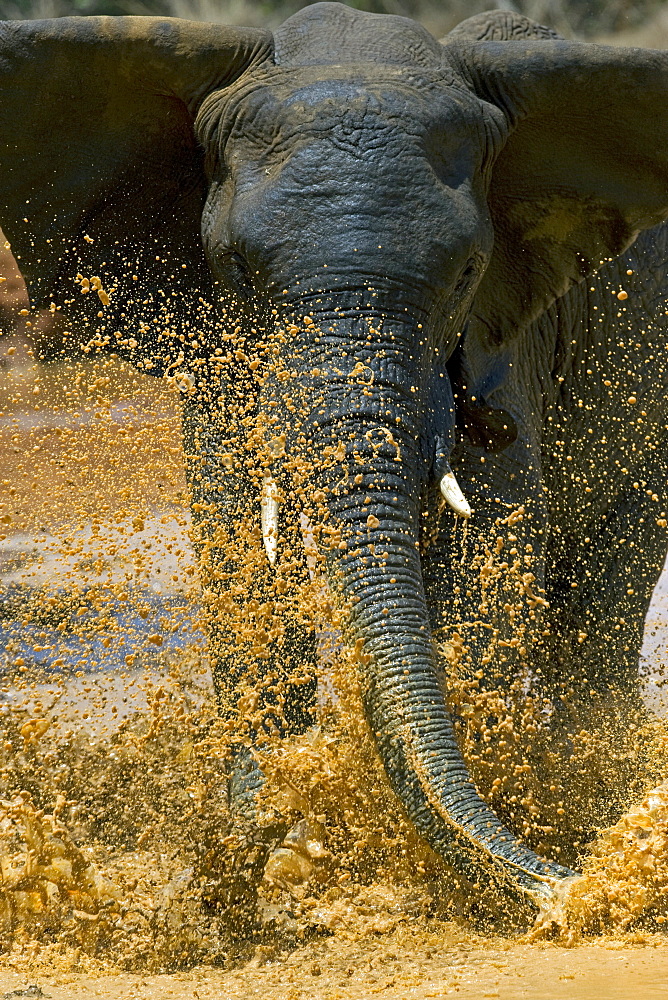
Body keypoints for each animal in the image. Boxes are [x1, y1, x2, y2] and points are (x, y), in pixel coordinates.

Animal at [1, 0, 668, 916]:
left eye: (467, 272)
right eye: (236, 269)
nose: (568, 892)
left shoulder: (509, 349)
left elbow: (489, 561)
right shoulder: (224, 355)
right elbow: (244, 564)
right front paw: (274, 849)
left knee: (598, 608)